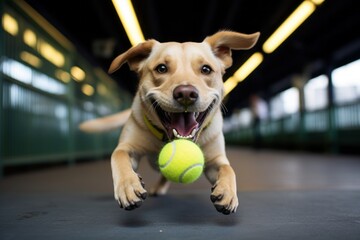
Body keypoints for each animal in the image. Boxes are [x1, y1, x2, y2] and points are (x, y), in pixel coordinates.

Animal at [79, 30, 258, 216]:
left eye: (206, 69)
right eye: (162, 68)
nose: (186, 93)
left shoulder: (216, 161)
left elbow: (228, 169)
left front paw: (228, 191)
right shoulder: (127, 147)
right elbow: (118, 156)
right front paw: (128, 185)